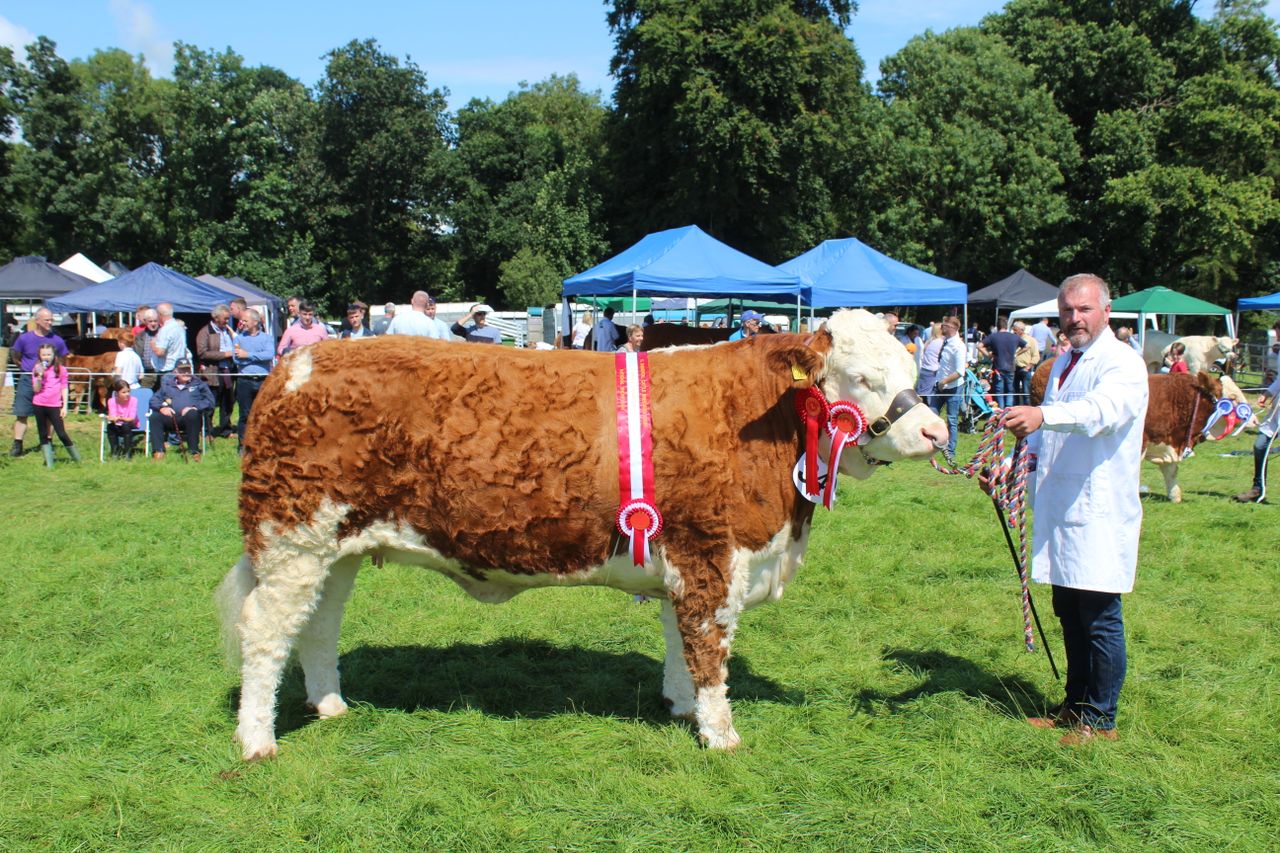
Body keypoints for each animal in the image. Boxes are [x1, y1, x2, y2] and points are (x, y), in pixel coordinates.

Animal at [216, 309, 949, 761]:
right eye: (862, 377)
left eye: (911, 372)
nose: (937, 431)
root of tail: (297, 364)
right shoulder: (711, 553)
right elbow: (709, 650)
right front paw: (720, 734)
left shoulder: (681, 558)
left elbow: (678, 641)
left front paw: (679, 708)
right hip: (292, 537)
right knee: (265, 630)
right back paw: (257, 740)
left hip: (337, 547)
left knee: (316, 626)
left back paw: (331, 705)